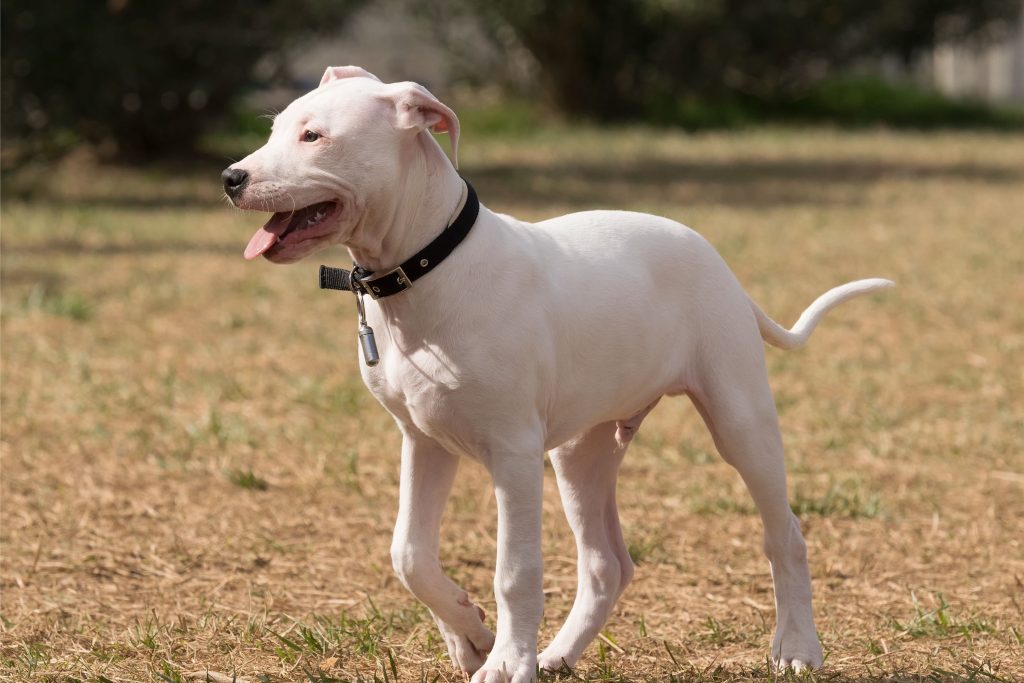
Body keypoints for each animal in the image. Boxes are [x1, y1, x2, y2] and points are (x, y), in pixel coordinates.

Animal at [224, 66, 888, 679]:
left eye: (313, 136)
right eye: (276, 128)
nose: (231, 179)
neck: (428, 268)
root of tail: (711, 254)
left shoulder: (513, 454)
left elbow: (515, 570)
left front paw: (504, 661)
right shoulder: (423, 442)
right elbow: (408, 555)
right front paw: (470, 635)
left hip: (739, 419)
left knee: (785, 534)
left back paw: (797, 648)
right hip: (581, 451)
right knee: (606, 564)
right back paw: (559, 655)